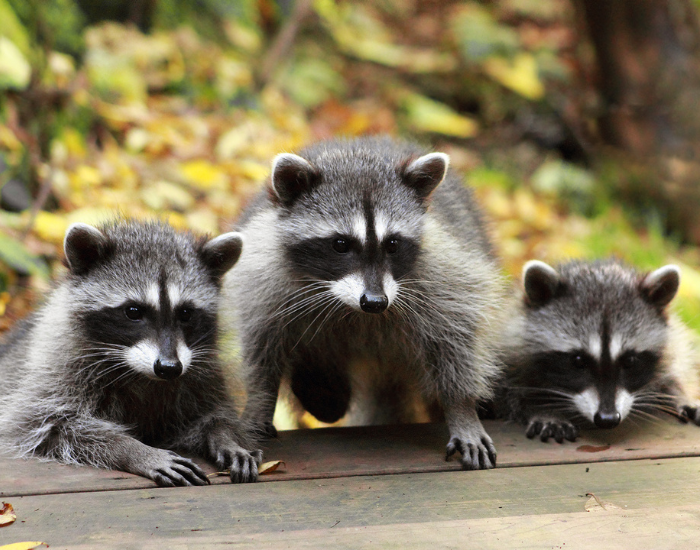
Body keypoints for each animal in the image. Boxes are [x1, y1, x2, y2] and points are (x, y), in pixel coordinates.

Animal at [0, 220, 262, 485]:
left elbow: (213, 415)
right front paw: (134, 450)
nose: (169, 368)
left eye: (186, 313)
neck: (140, 373)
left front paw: (226, 438)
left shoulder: (202, 376)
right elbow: (49, 425)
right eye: (133, 311)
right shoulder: (58, 369)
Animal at [224, 137, 506, 470]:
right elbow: (262, 347)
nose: (375, 302)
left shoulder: (444, 274)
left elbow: (455, 338)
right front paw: (260, 401)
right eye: (340, 244)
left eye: (393, 244)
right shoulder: (262, 276)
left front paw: (461, 408)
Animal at [500, 258, 700, 442]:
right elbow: (512, 392)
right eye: (578, 361)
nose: (608, 419)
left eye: (630, 361)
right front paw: (543, 409)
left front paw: (681, 394)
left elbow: (672, 368)